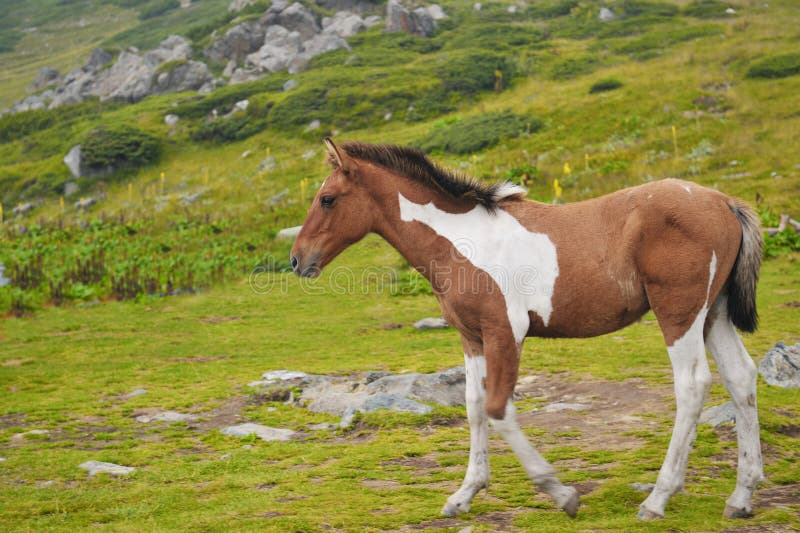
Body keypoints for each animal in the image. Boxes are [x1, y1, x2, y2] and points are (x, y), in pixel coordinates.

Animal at [290, 138, 764, 520]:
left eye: (327, 199)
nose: (297, 260)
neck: (460, 241)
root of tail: (725, 202)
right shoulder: (472, 337)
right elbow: (474, 406)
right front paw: (463, 495)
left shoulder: (505, 332)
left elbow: (499, 409)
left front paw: (561, 494)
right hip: (713, 314)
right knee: (740, 376)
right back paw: (741, 497)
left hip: (679, 314)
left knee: (692, 384)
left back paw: (658, 499)